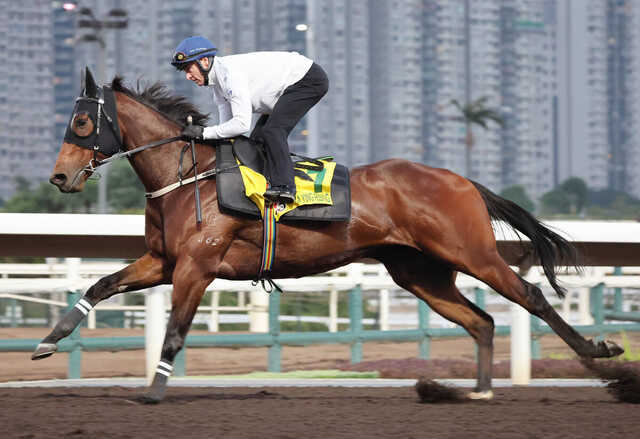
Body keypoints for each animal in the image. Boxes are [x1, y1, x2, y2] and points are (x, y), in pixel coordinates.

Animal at [34, 69, 623, 403]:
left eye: (82, 124)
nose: (59, 177)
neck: (191, 177)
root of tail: (461, 180)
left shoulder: (197, 268)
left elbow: (175, 332)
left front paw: (154, 392)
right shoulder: (162, 261)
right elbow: (99, 287)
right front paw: (48, 341)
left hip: (472, 252)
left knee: (531, 296)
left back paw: (601, 351)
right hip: (420, 272)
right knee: (481, 321)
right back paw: (475, 392)